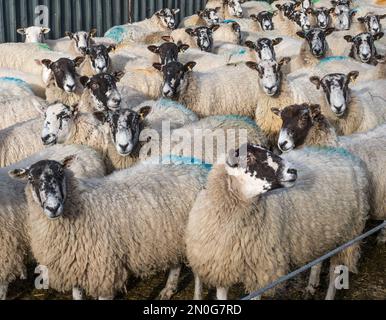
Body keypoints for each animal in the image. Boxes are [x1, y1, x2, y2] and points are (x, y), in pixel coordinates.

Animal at [9, 155, 210, 300]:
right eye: (30, 178)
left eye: (61, 172)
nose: (53, 207)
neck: (79, 207)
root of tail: (199, 168)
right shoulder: (76, 266)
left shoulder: (104, 270)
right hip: (171, 234)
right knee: (175, 262)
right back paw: (168, 290)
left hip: (197, 234)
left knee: (198, 272)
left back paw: (197, 297)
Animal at [185, 142, 370, 300]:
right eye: (249, 158)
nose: (293, 171)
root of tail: (345, 156)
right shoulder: (221, 264)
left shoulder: (261, 270)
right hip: (323, 233)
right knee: (319, 259)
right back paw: (311, 286)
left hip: (348, 237)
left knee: (335, 274)